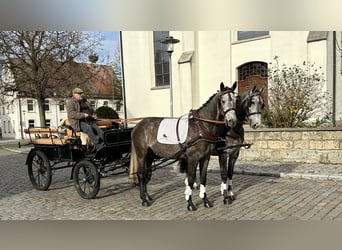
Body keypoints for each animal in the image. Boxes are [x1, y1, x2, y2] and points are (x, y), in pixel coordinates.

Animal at [129, 82, 238, 211]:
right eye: (223, 101)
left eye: (235, 100)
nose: (232, 121)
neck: (201, 126)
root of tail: (137, 126)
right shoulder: (192, 158)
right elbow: (190, 179)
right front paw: (190, 203)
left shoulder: (205, 157)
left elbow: (203, 178)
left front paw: (205, 201)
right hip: (141, 155)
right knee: (141, 174)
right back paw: (144, 200)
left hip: (150, 156)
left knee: (147, 174)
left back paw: (147, 196)